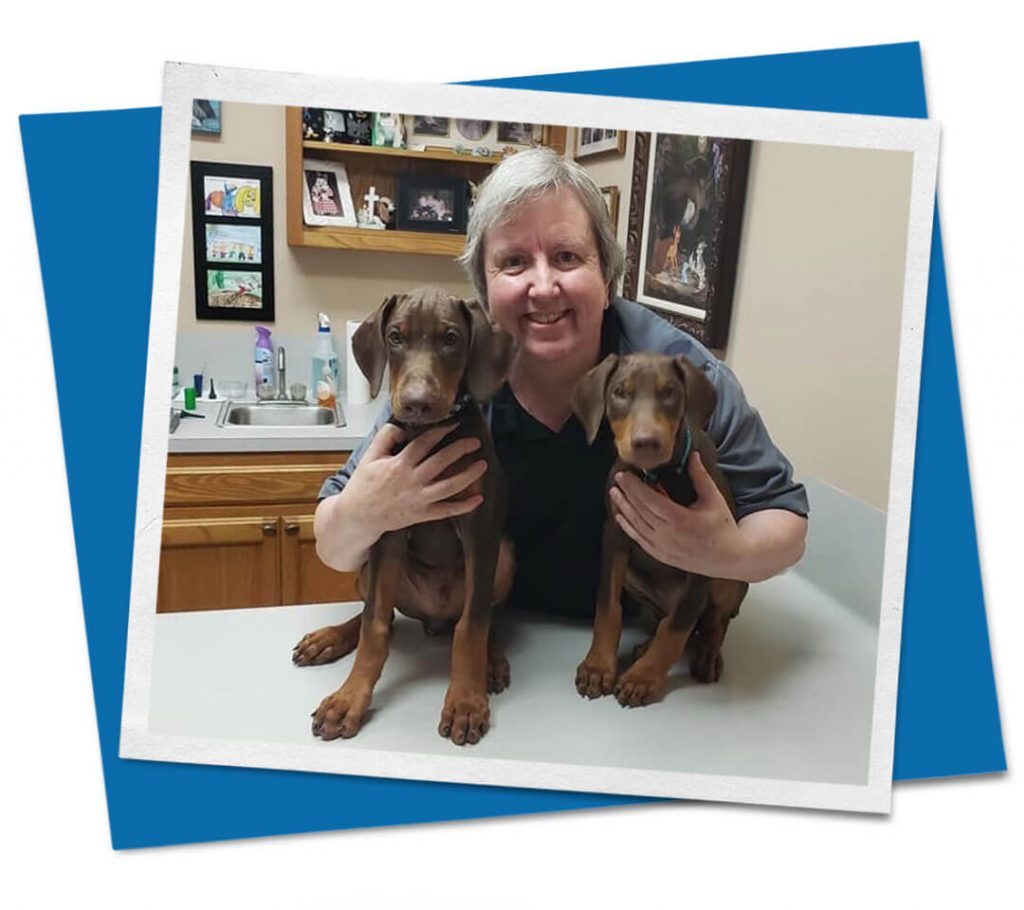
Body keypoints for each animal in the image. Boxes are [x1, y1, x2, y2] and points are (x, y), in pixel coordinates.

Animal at [296, 286, 520, 745]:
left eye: (451, 339)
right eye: (395, 337)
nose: (417, 404)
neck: (427, 436)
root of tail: (434, 618)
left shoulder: (481, 527)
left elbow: (472, 625)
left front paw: (465, 701)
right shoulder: (387, 526)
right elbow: (375, 626)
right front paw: (349, 699)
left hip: (505, 554)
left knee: (485, 613)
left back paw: (490, 659)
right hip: (370, 564)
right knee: (378, 614)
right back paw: (330, 638)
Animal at [573, 352, 749, 708]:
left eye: (670, 393)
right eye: (619, 393)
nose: (646, 443)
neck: (656, 477)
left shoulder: (701, 549)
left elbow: (677, 626)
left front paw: (643, 678)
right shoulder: (615, 535)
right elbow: (608, 608)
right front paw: (598, 666)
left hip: (728, 577)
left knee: (712, 621)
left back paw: (707, 654)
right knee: (666, 618)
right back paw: (644, 646)